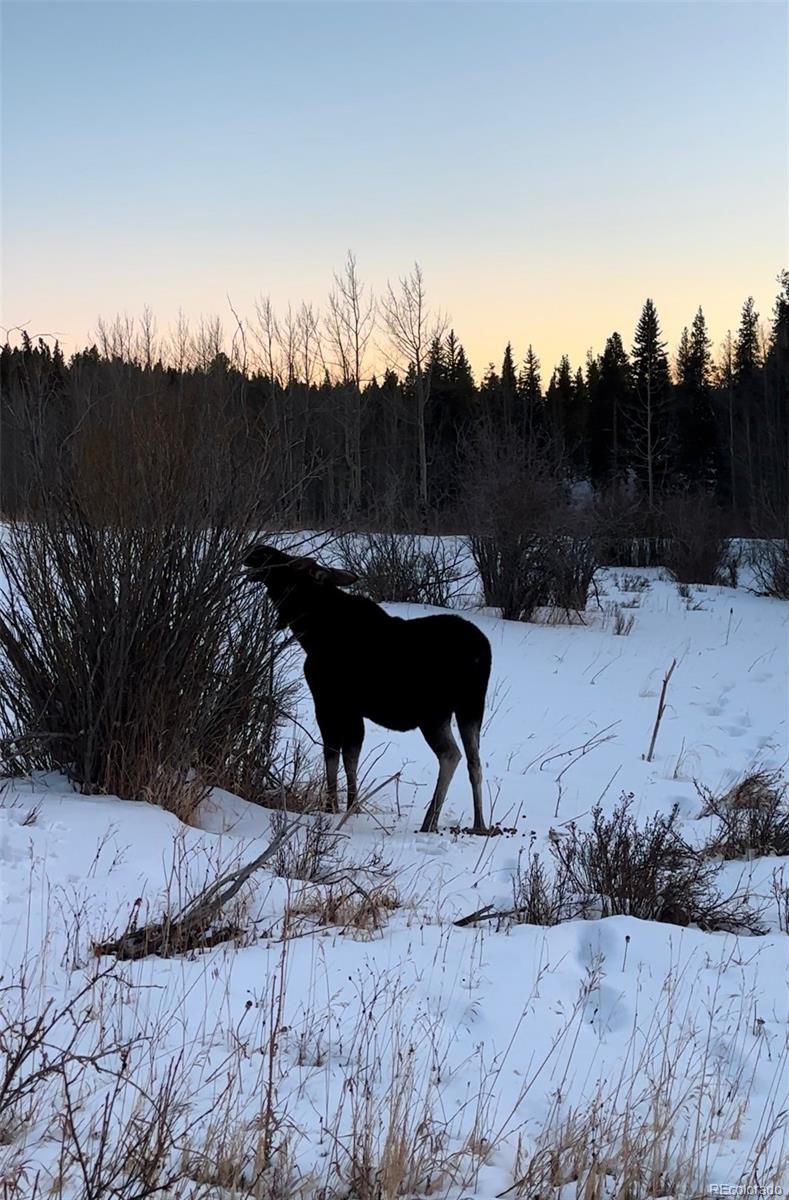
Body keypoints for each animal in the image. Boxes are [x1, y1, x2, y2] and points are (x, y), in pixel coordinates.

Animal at [242, 544, 489, 835]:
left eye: (294, 564)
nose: (256, 550)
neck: (310, 631)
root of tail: (481, 653)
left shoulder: (328, 702)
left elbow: (333, 755)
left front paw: (332, 808)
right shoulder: (353, 711)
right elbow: (352, 757)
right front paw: (352, 807)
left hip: (433, 713)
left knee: (451, 755)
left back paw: (430, 821)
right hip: (471, 708)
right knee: (475, 761)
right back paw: (479, 823)